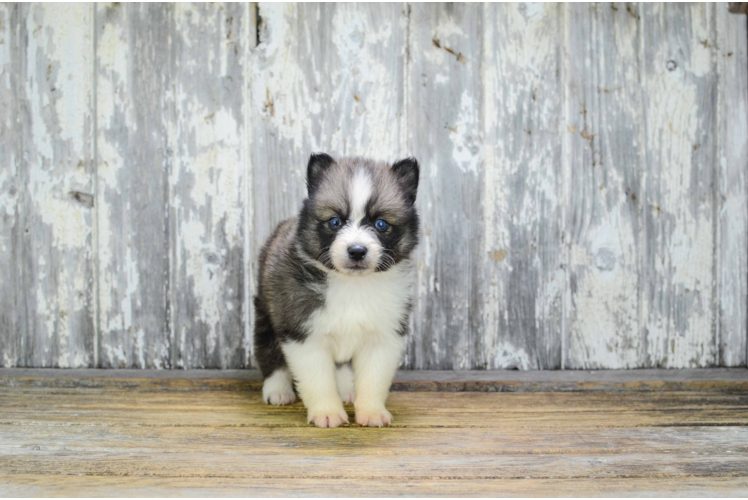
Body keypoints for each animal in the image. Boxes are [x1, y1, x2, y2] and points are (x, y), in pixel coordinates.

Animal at [254, 152, 420, 426]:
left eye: (381, 224)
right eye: (335, 221)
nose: (357, 251)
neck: (351, 284)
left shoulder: (383, 335)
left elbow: (374, 378)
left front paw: (371, 412)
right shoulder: (303, 333)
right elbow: (318, 380)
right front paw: (327, 413)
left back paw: (346, 389)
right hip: (268, 311)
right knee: (269, 350)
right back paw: (278, 389)